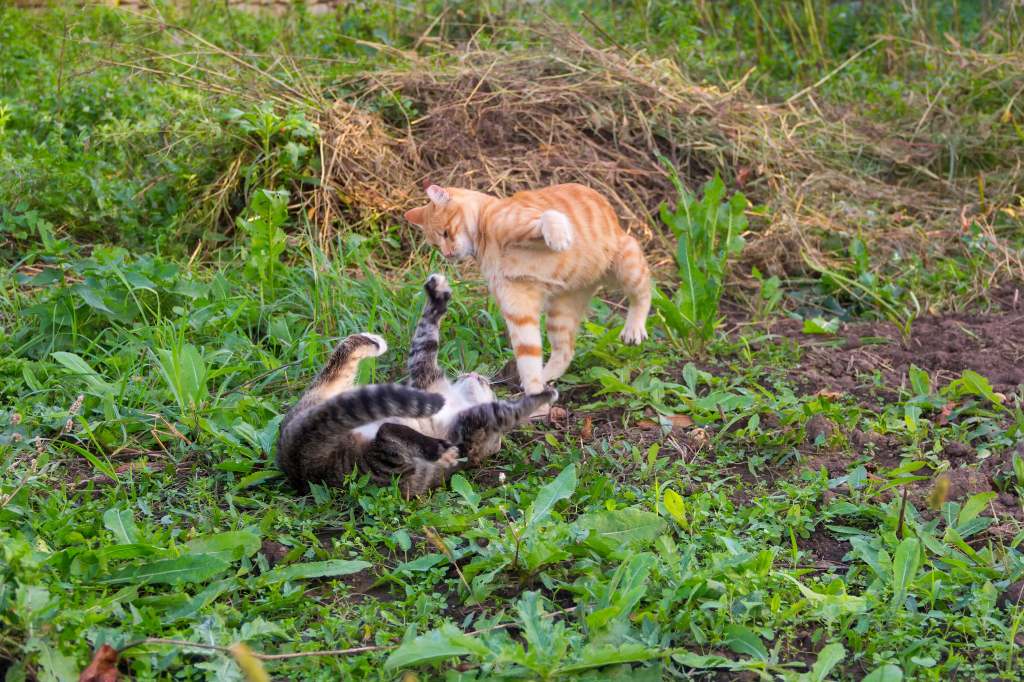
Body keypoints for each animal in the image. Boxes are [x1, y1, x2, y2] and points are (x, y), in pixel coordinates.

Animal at [276, 274, 557, 497]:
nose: (478, 375)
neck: (458, 400)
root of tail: (297, 460)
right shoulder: (425, 373)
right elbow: (426, 336)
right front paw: (437, 298)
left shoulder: (472, 425)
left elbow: (503, 412)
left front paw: (541, 395)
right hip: (326, 399)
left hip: (382, 466)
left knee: (386, 431)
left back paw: (437, 448)